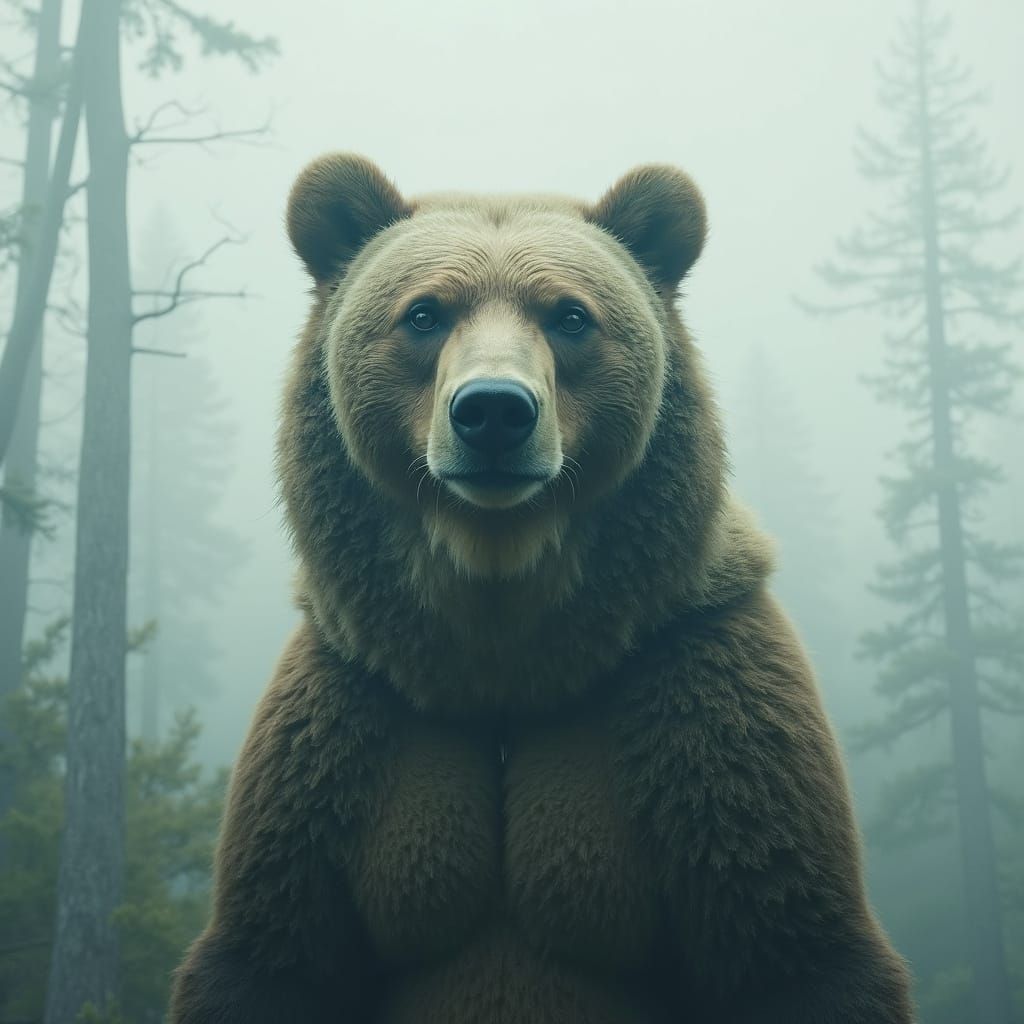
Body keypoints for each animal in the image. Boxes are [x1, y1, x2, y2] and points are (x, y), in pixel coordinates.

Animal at [169, 154, 915, 1023]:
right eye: (424, 312)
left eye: (570, 315)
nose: (494, 412)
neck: (508, 653)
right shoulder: (351, 717)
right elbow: (277, 952)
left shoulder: (697, 684)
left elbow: (791, 949)